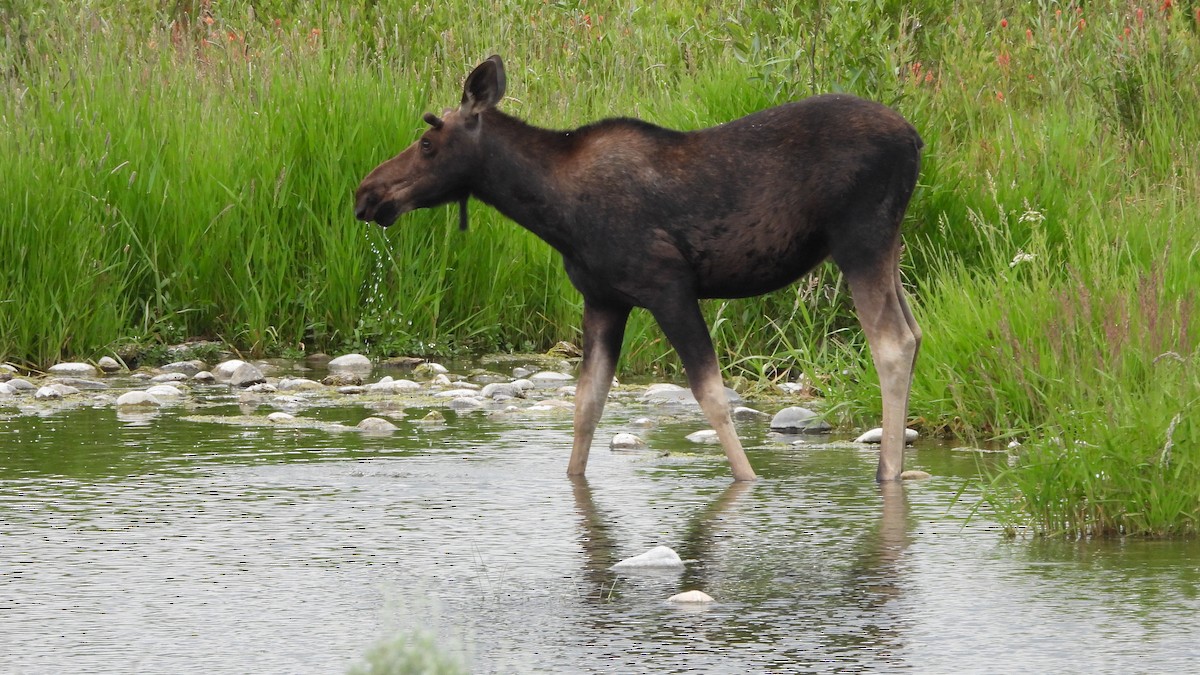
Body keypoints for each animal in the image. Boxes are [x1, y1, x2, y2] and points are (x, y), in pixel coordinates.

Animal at [355, 56, 923, 483]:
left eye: (427, 143)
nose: (366, 193)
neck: (554, 211)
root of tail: (916, 140)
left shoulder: (668, 286)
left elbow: (711, 395)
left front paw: (748, 479)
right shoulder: (603, 299)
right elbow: (587, 405)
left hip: (860, 241)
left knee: (891, 343)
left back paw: (887, 472)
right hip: (887, 247)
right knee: (915, 333)